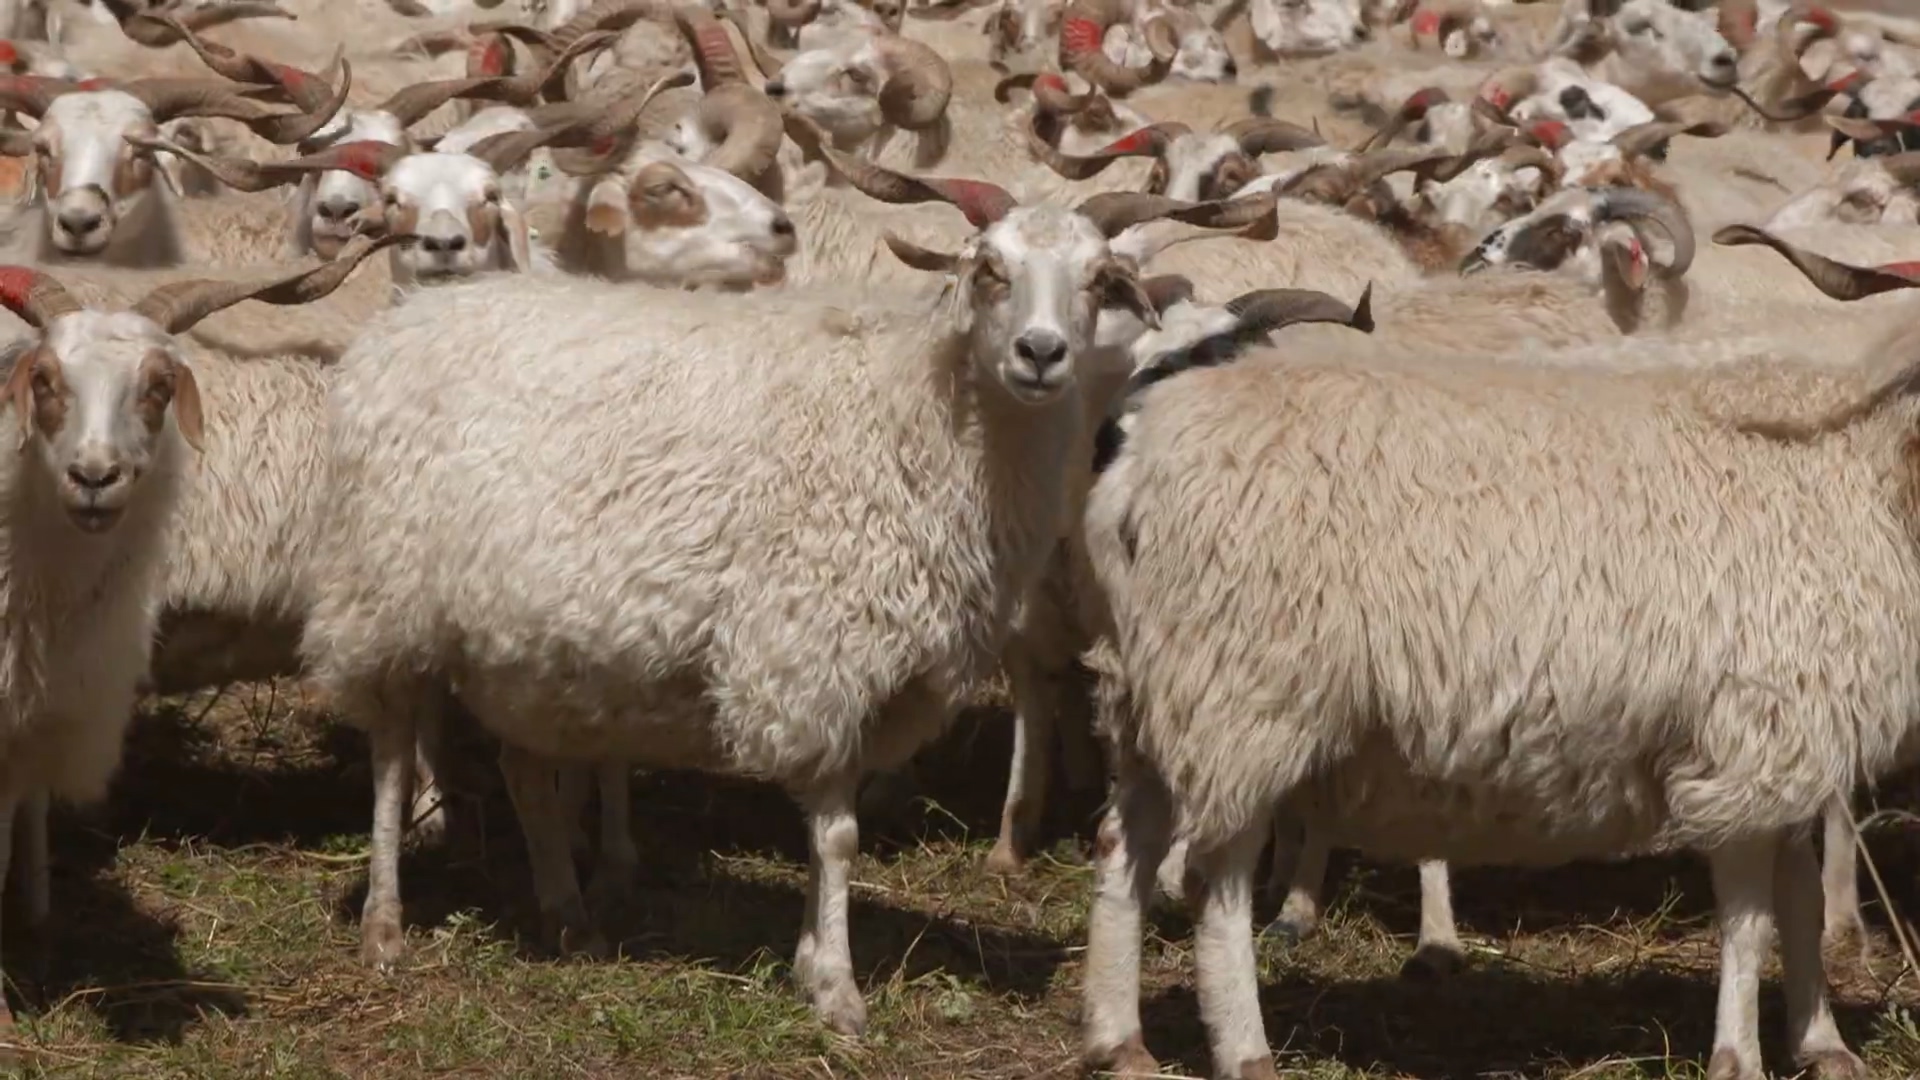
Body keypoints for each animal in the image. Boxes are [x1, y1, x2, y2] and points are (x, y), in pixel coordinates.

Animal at [291, 155, 1267, 1030]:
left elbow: (833, 829)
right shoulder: (819, 647)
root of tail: (409, 321)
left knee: (526, 767)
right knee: (390, 757)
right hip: (383, 591)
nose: (1040, 353)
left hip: (522, 636)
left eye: (1099, 280)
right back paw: (385, 927)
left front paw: (808, 959)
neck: (923, 408)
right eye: (989, 269)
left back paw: (567, 914)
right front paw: (836, 988)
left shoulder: (888, 672)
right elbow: (836, 834)